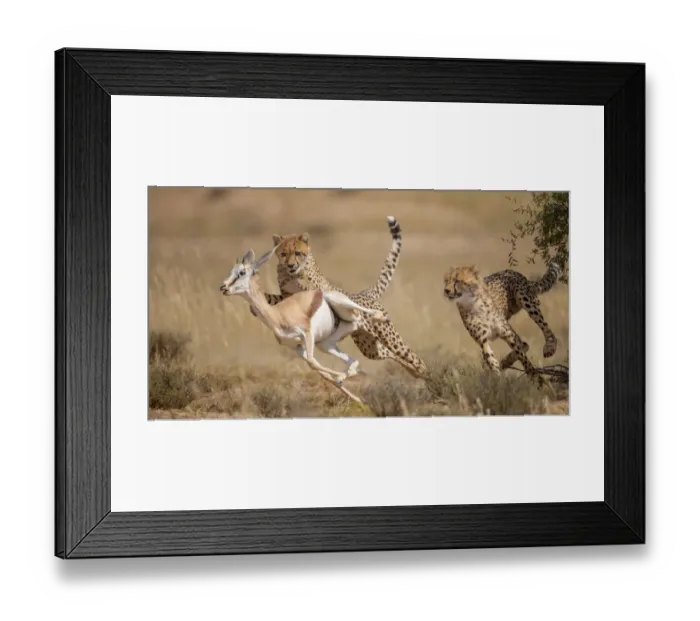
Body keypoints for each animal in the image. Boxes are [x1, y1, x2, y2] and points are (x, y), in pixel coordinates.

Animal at [253, 216, 429, 379]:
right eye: (283, 254)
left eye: (298, 253)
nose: (290, 265)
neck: (292, 275)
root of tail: (364, 293)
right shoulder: (286, 297)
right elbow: (273, 299)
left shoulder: (315, 294)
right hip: (369, 347)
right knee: (391, 354)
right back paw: (414, 373)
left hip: (388, 336)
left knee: (413, 357)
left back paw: (427, 375)